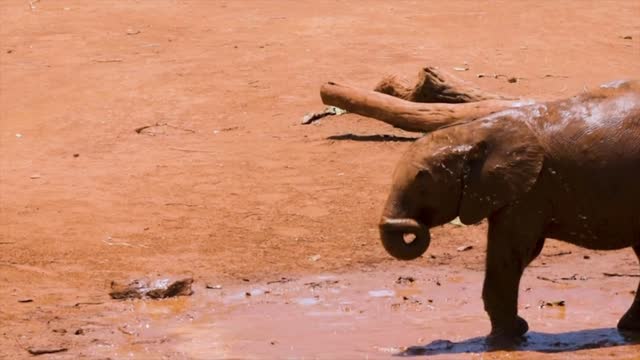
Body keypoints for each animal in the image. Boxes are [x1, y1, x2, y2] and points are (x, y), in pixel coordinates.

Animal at [380, 79, 640, 344]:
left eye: (422, 180)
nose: (411, 227)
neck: (474, 132)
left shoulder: (529, 191)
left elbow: (509, 254)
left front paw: (506, 337)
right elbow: (520, 252)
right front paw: (513, 332)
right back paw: (629, 327)